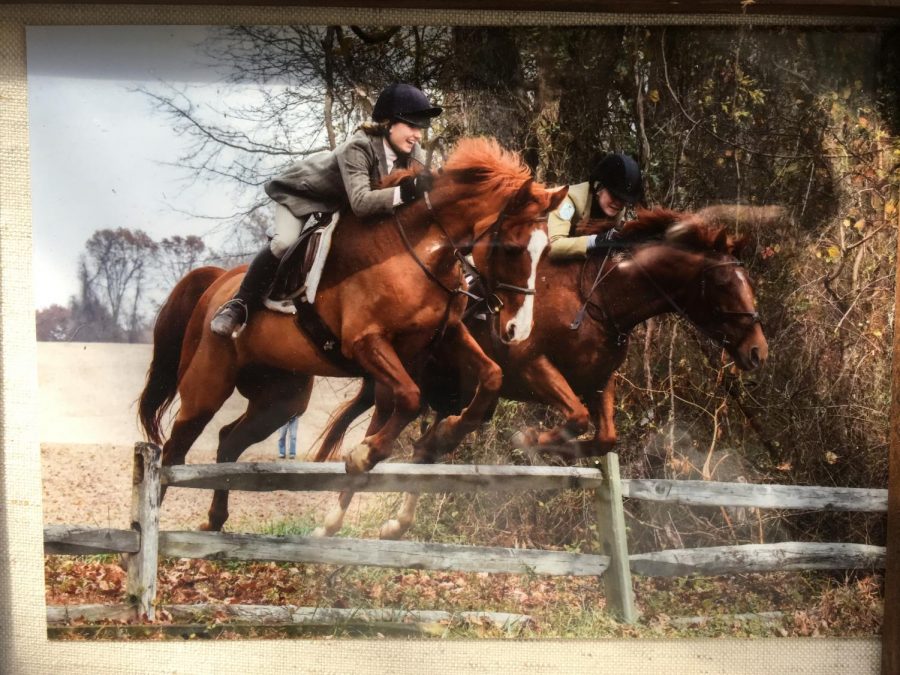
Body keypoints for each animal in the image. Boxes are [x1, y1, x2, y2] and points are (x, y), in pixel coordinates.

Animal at [137, 137, 568, 532]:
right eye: (512, 248)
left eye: (545, 252)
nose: (518, 329)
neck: (420, 253)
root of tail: (216, 282)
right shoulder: (365, 343)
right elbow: (409, 398)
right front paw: (364, 454)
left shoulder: (445, 333)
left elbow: (490, 376)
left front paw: (444, 436)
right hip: (206, 386)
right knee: (173, 450)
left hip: (281, 398)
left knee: (229, 439)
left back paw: (214, 521)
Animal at [312, 206, 772, 540]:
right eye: (724, 284)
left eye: (749, 282)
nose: (758, 353)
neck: (600, 298)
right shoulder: (531, 365)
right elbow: (577, 418)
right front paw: (530, 438)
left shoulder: (598, 383)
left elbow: (604, 436)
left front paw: (557, 448)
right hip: (398, 386)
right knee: (380, 435)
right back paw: (331, 521)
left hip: (445, 391)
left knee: (425, 448)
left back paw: (398, 516)